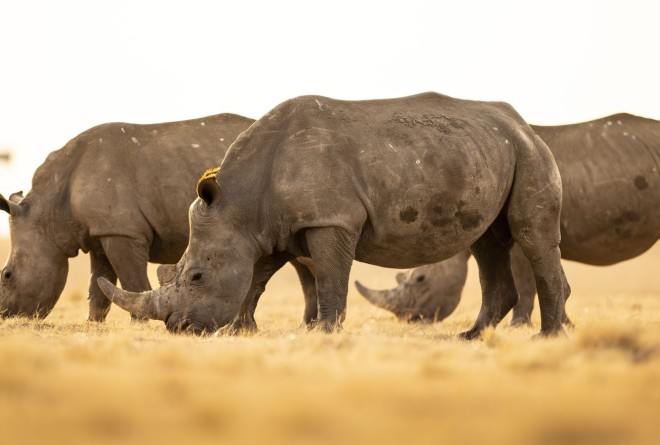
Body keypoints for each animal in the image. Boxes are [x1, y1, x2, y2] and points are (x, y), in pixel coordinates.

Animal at [0, 113, 257, 320]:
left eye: (7, 275)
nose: (4, 315)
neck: (49, 212)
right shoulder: (100, 232)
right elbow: (98, 287)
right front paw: (92, 324)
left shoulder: (122, 231)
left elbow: (132, 281)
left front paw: (140, 324)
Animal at [98, 92, 570, 338]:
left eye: (196, 277)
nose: (177, 327)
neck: (242, 201)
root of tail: (524, 124)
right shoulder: (266, 230)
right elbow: (256, 279)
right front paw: (241, 331)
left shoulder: (330, 219)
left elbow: (328, 275)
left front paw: (324, 332)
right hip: (486, 153)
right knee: (488, 243)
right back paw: (470, 338)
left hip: (530, 153)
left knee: (531, 235)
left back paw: (547, 337)